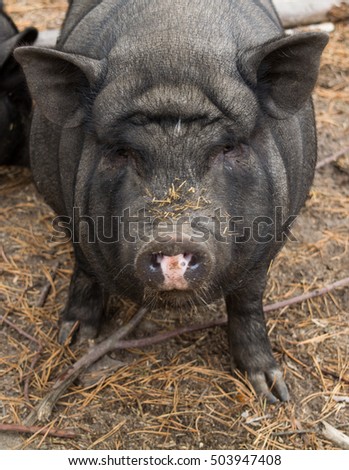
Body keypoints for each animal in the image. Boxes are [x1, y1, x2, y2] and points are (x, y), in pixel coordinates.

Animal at [15, 0, 326, 402]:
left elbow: (248, 301)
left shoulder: (272, 237)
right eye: (122, 151)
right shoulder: (65, 209)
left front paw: (272, 392)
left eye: (228, 147)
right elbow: (84, 267)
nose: (173, 242)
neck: (174, 44)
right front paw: (74, 339)